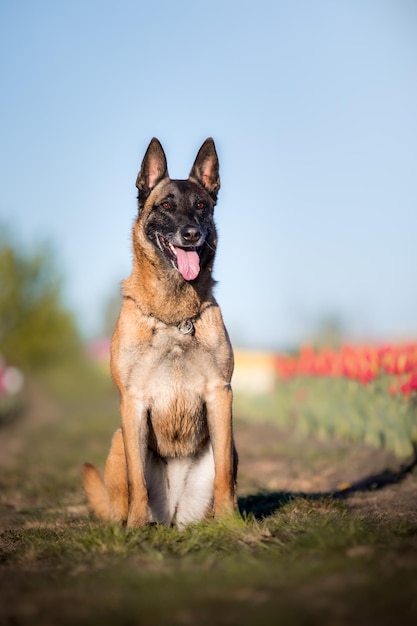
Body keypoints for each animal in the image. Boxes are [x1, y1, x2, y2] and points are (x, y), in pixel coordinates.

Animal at [83, 138, 237, 528]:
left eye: (201, 206)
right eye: (166, 206)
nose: (192, 234)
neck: (173, 315)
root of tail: (173, 516)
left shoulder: (220, 395)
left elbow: (224, 474)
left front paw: (232, 522)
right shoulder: (133, 401)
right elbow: (137, 479)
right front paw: (135, 527)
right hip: (118, 440)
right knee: (123, 495)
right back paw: (128, 523)